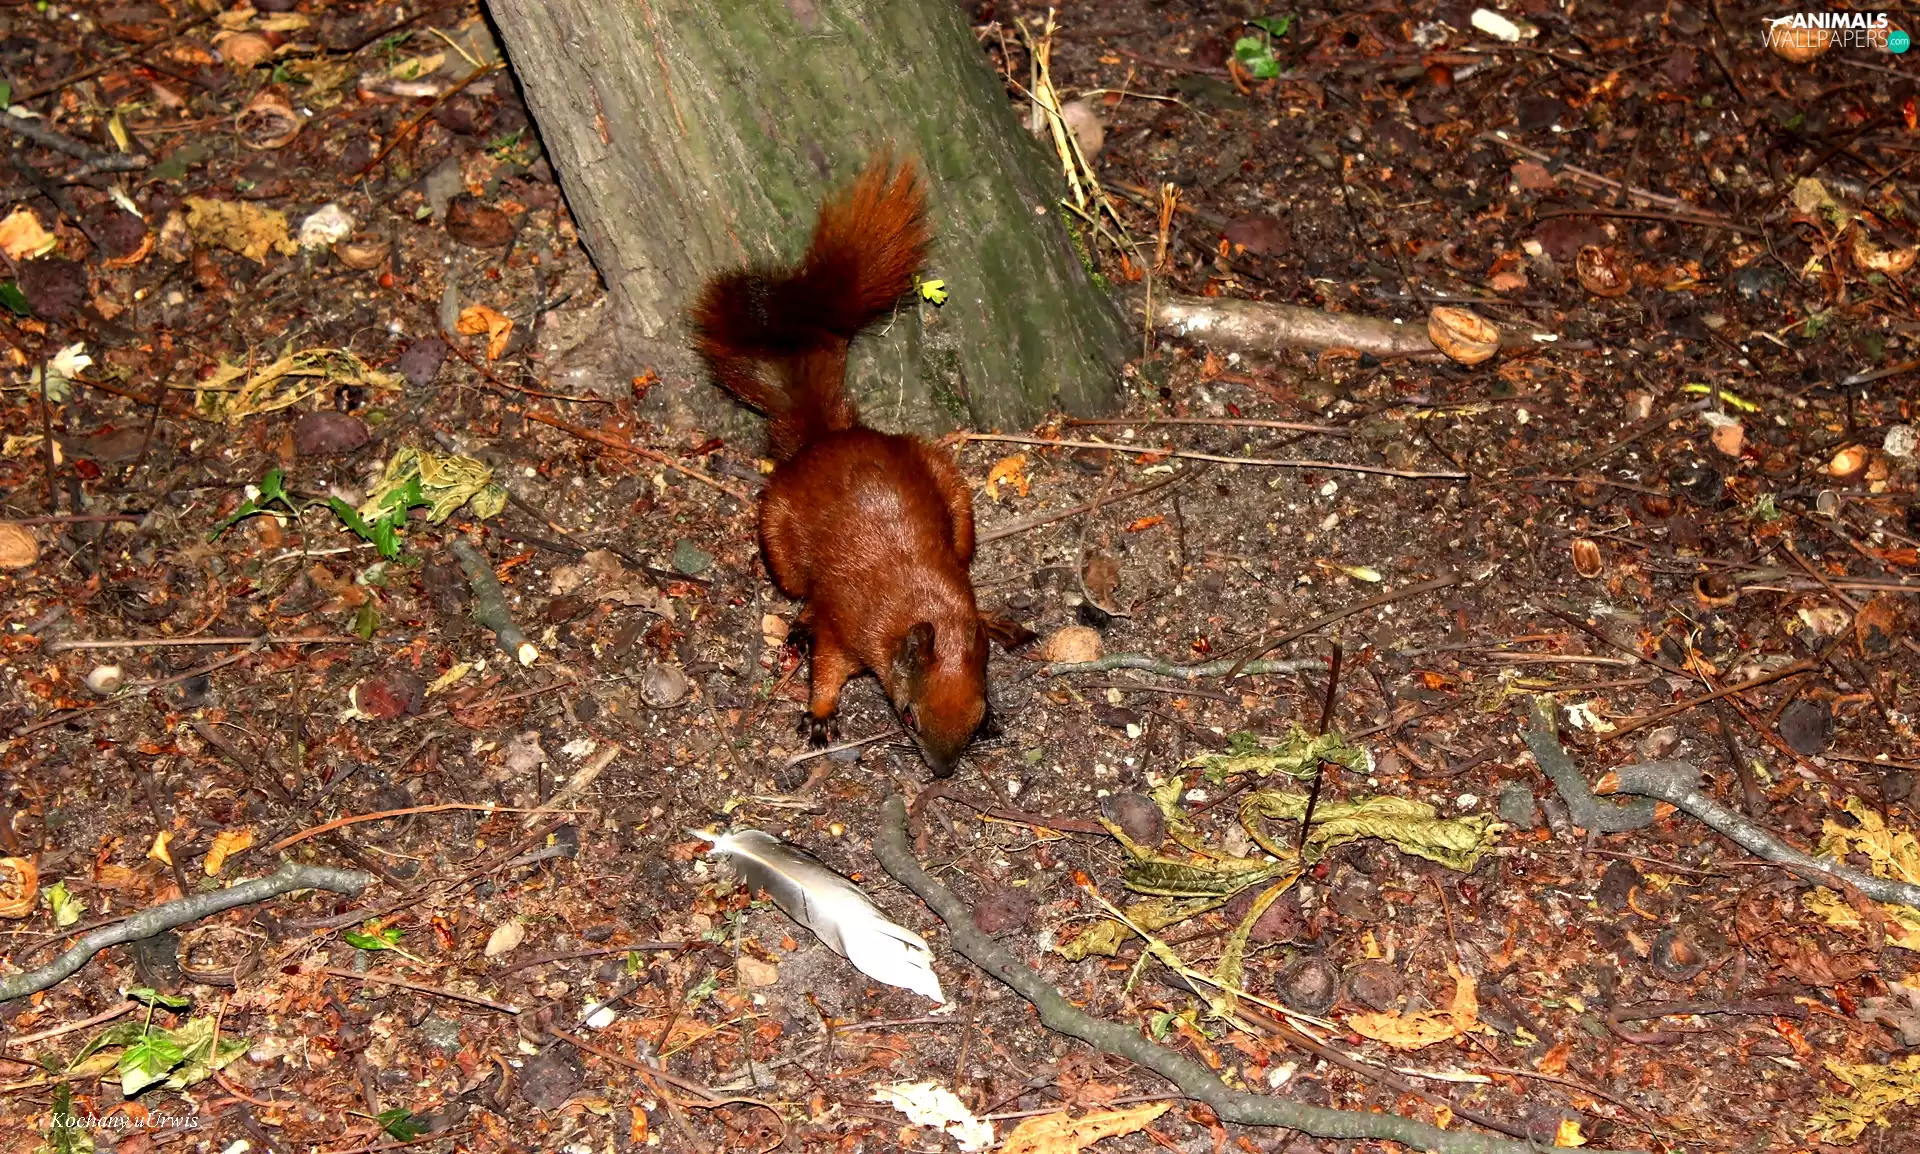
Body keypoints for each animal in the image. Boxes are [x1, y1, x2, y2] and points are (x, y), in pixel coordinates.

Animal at [691, 155, 987, 777]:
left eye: (980, 712)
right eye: (909, 716)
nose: (943, 771)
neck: (925, 606)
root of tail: (830, 434)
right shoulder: (847, 627)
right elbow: (826, 666)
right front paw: (820, 715)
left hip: (953, 496)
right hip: (779, 537)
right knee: (800, 590)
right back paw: (798, 625)